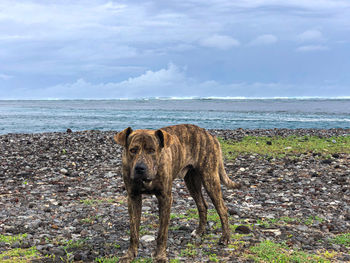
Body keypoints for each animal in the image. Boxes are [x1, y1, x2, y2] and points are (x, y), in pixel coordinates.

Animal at [115, 125, 241, 262]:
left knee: (222, 209)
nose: (140, 168)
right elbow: (133, 231)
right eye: (133, 150)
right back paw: (200, 231)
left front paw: (160, 256)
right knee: (202, 205)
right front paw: (130, 254)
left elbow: (162, 233)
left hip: (210, 179)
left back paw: (225, 237)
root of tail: (209, 135)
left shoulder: (165, 198)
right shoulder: (133, 198)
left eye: (152, 150)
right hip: (191, 182)